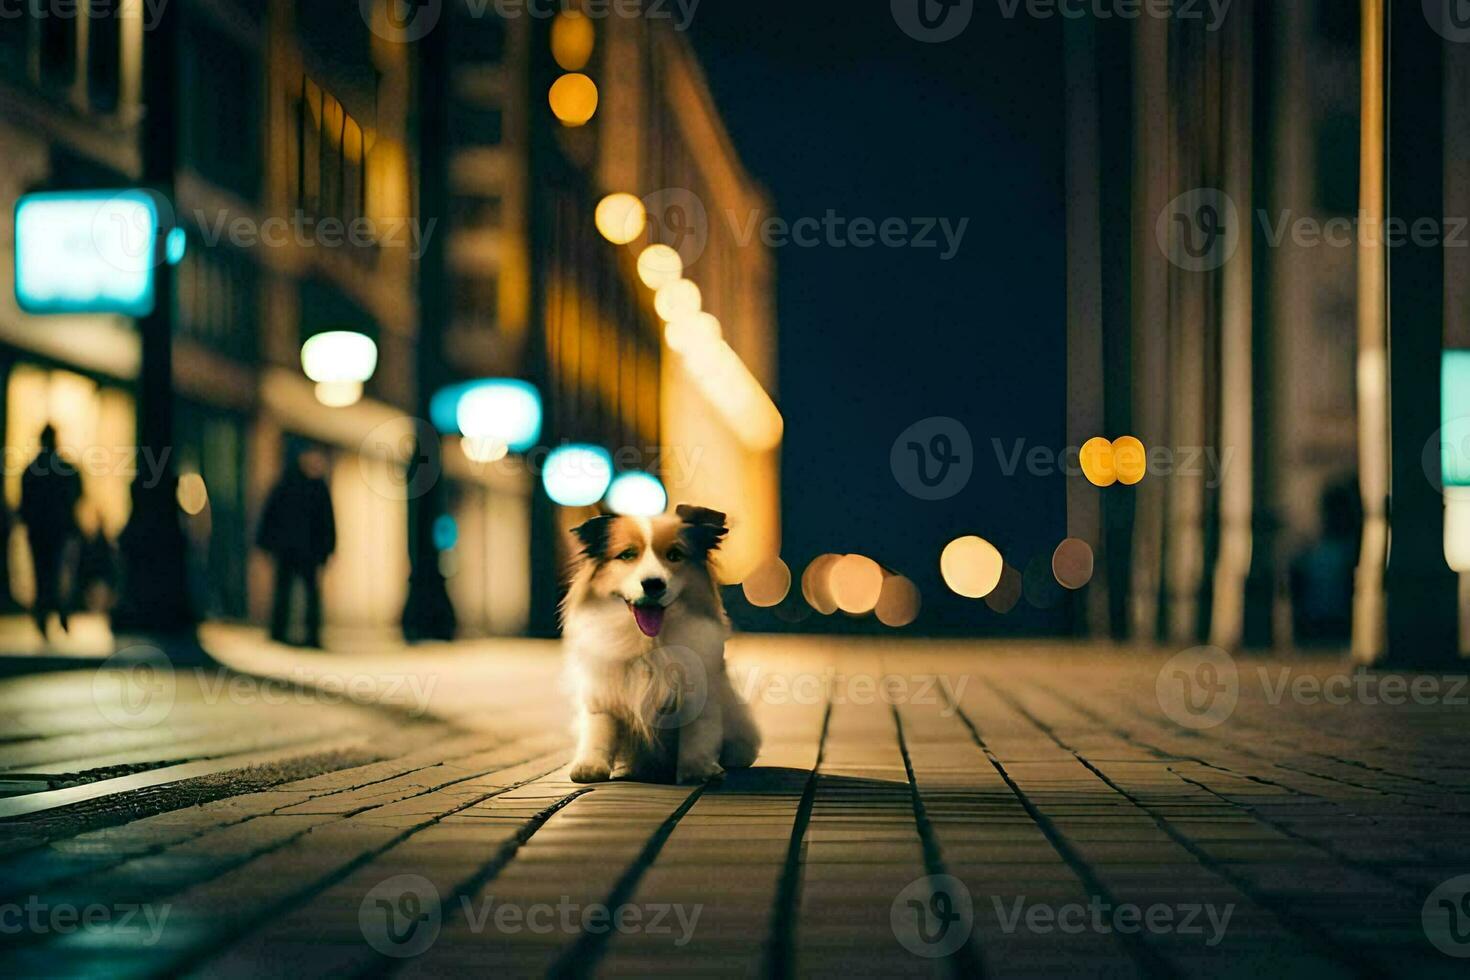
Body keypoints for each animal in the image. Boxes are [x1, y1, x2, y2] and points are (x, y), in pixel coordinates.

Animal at [561, 502, 764, 787]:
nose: (653, 584)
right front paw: (590, 766)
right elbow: (599, 729)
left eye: (674, 555)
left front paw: (697, 769)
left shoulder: (699, 691)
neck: (648, 641)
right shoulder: (602, 693)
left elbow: (697, 734)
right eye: (627, 555)